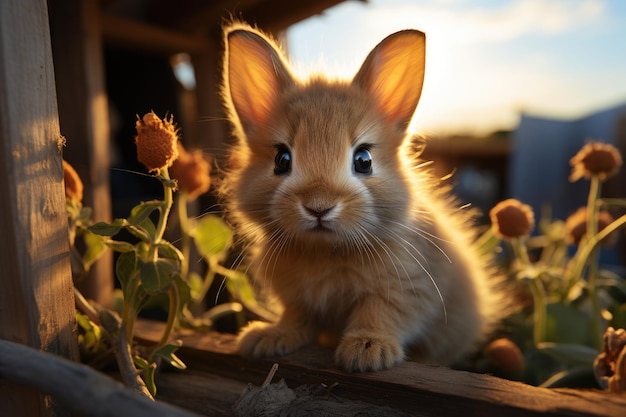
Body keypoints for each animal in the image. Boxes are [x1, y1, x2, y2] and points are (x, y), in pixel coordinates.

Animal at [219, 22, 502, 372]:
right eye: (281, 160)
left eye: (364, 160)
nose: (319, 207)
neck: (327, 249)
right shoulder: (299, 300)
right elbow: (297, 319)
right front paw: (269, 339)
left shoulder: (405, 288)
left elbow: (379, 313)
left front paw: (367, 351)